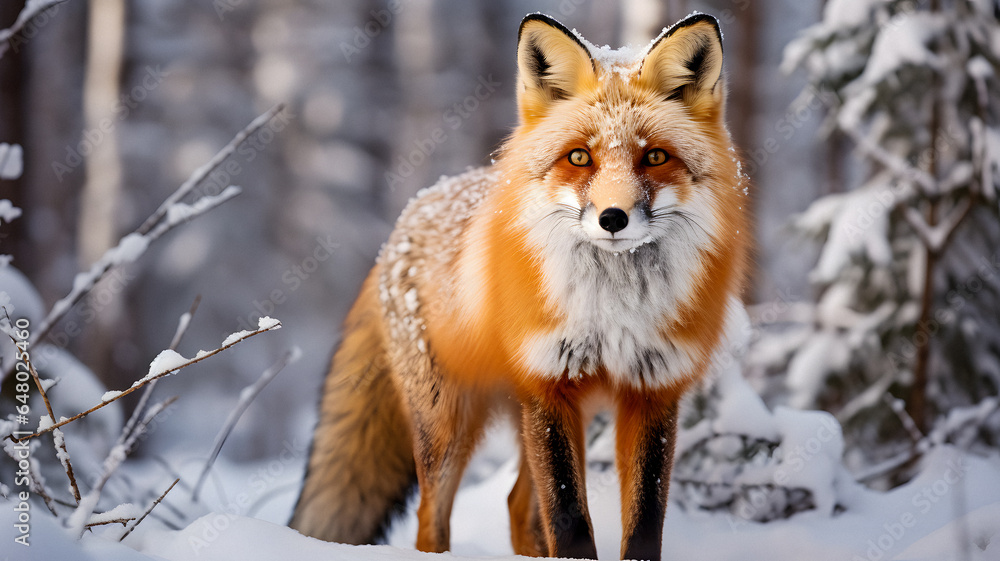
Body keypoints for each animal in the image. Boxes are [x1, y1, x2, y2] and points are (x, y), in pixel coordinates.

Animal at [290, 12, 748, 561]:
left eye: (656, 157)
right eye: (579, 157)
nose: (612, 218)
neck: (612, 309)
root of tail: (409, 214)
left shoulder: (651, 389)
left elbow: (641, 525)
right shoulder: (548, 382)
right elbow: (569, 521)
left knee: (515, 506)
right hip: (450, 424)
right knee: (431, 518)